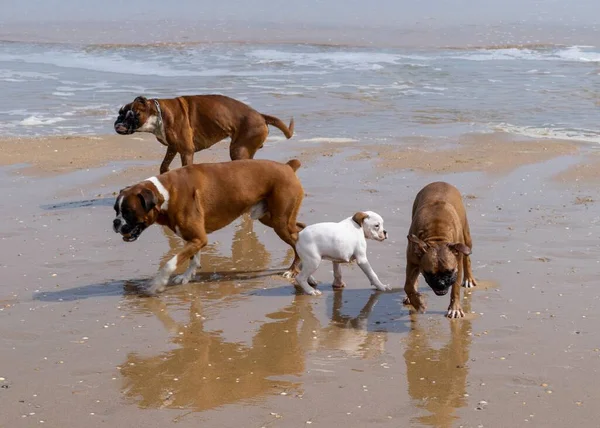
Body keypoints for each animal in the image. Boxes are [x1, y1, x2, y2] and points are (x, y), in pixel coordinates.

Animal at [113, 94, 294, 173]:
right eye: (120, 113)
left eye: (133, 114)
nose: (118, 121)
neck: (158, 114)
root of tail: (261, 115)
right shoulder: (173, 148)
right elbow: (164, 165)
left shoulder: (186, 152)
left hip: (238, 150)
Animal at [113, 159, 304, 296]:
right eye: (116, 210)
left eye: (128, 212)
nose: (115, 223)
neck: (166, 193)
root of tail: (288, 166)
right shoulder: (195, 238)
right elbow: (193, 258)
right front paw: (187, 276)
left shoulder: (198, 238)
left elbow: (170, 263)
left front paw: (158, 284)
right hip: (273, 219)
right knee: (300, 228)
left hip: (280, 222)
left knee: (296, 240)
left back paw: (292, 270)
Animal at [404, 181, 478, 318]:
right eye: (428, 273)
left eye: (450, 271)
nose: (441, 283)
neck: (437, 237)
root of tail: (439, 182)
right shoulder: (411, 261)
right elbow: (408, 286)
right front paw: (418, 303)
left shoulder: (457, 265)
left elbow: (455, 288)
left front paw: (455, 308)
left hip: (466, 239)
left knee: (467, 258)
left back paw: (468, 279)